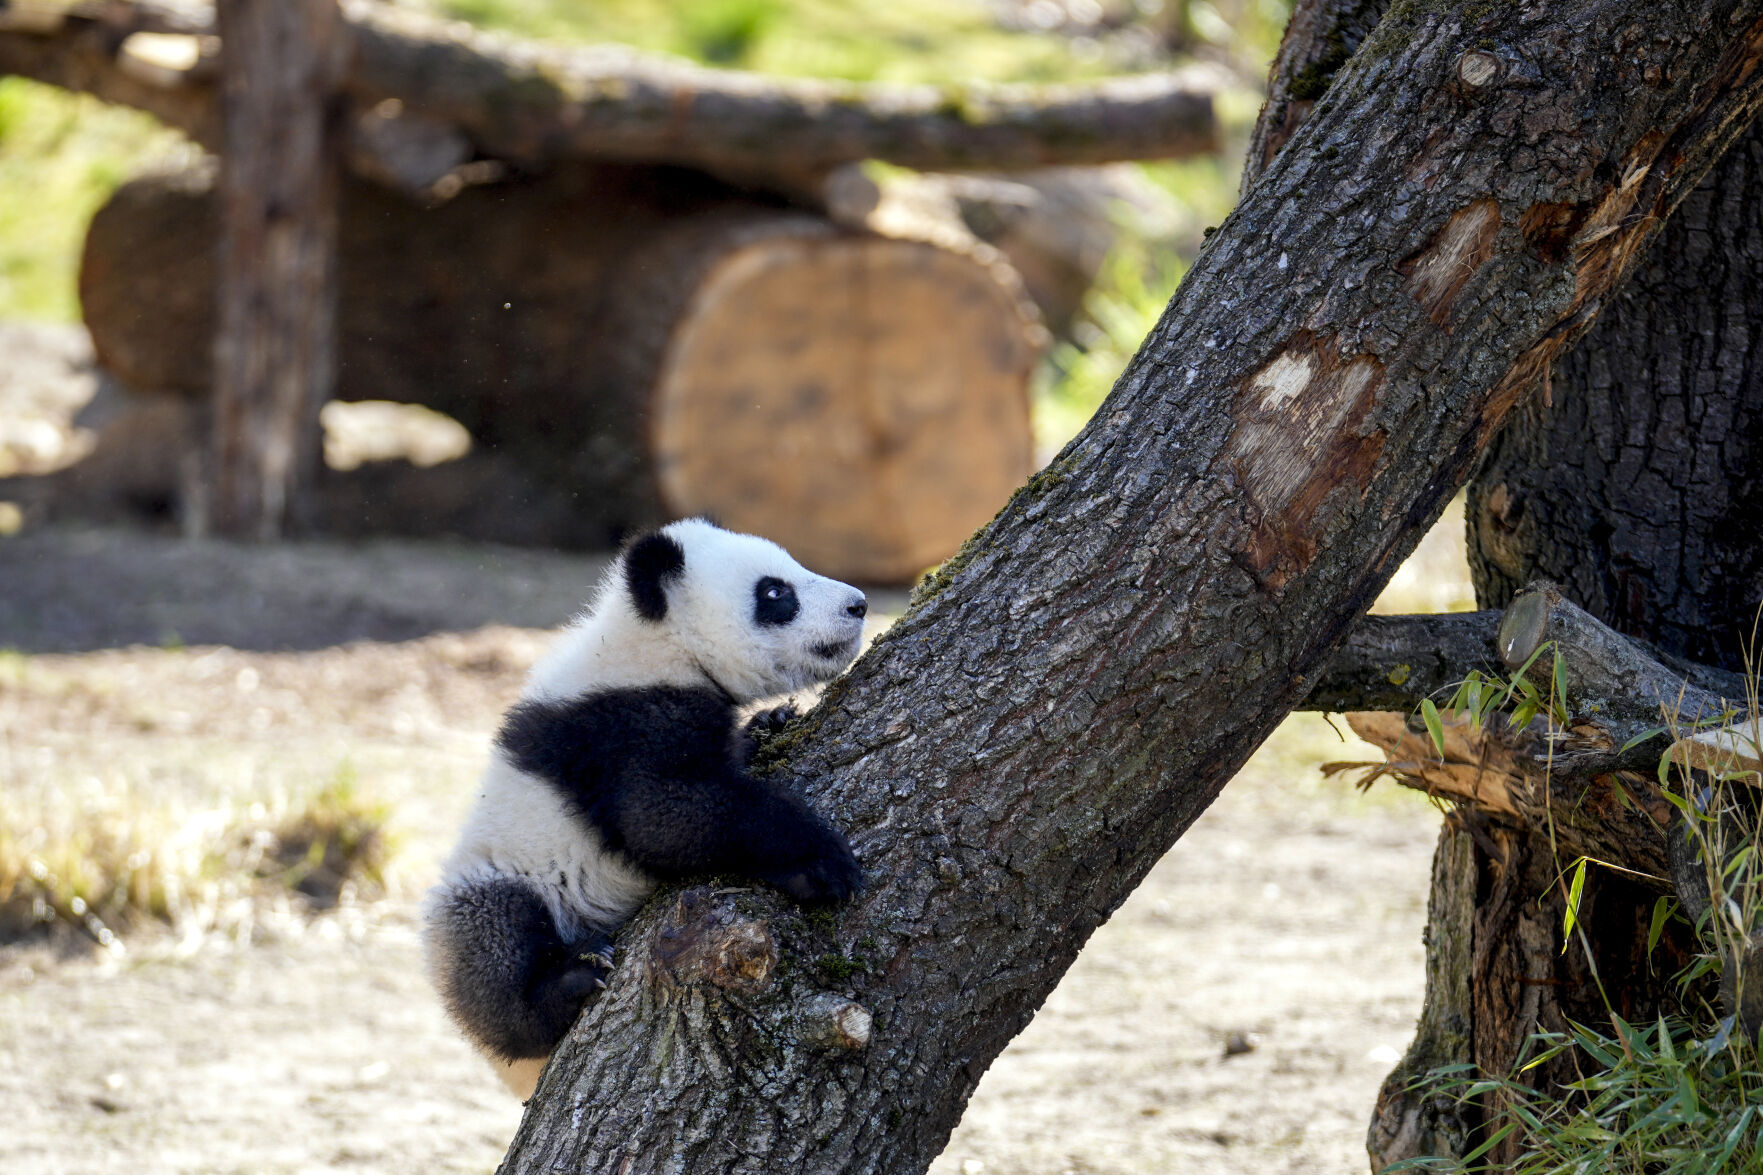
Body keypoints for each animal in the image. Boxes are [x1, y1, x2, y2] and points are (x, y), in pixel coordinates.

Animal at [424, 518, 868, 1097]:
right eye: (775, 593)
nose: (858, 604)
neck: (654, 640)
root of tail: (522, 1078)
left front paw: (770, 723)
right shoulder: (622, 726)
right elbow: (664, 815)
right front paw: (821, 863)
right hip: (490, 888)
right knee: (495, 946)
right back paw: (571, 981)